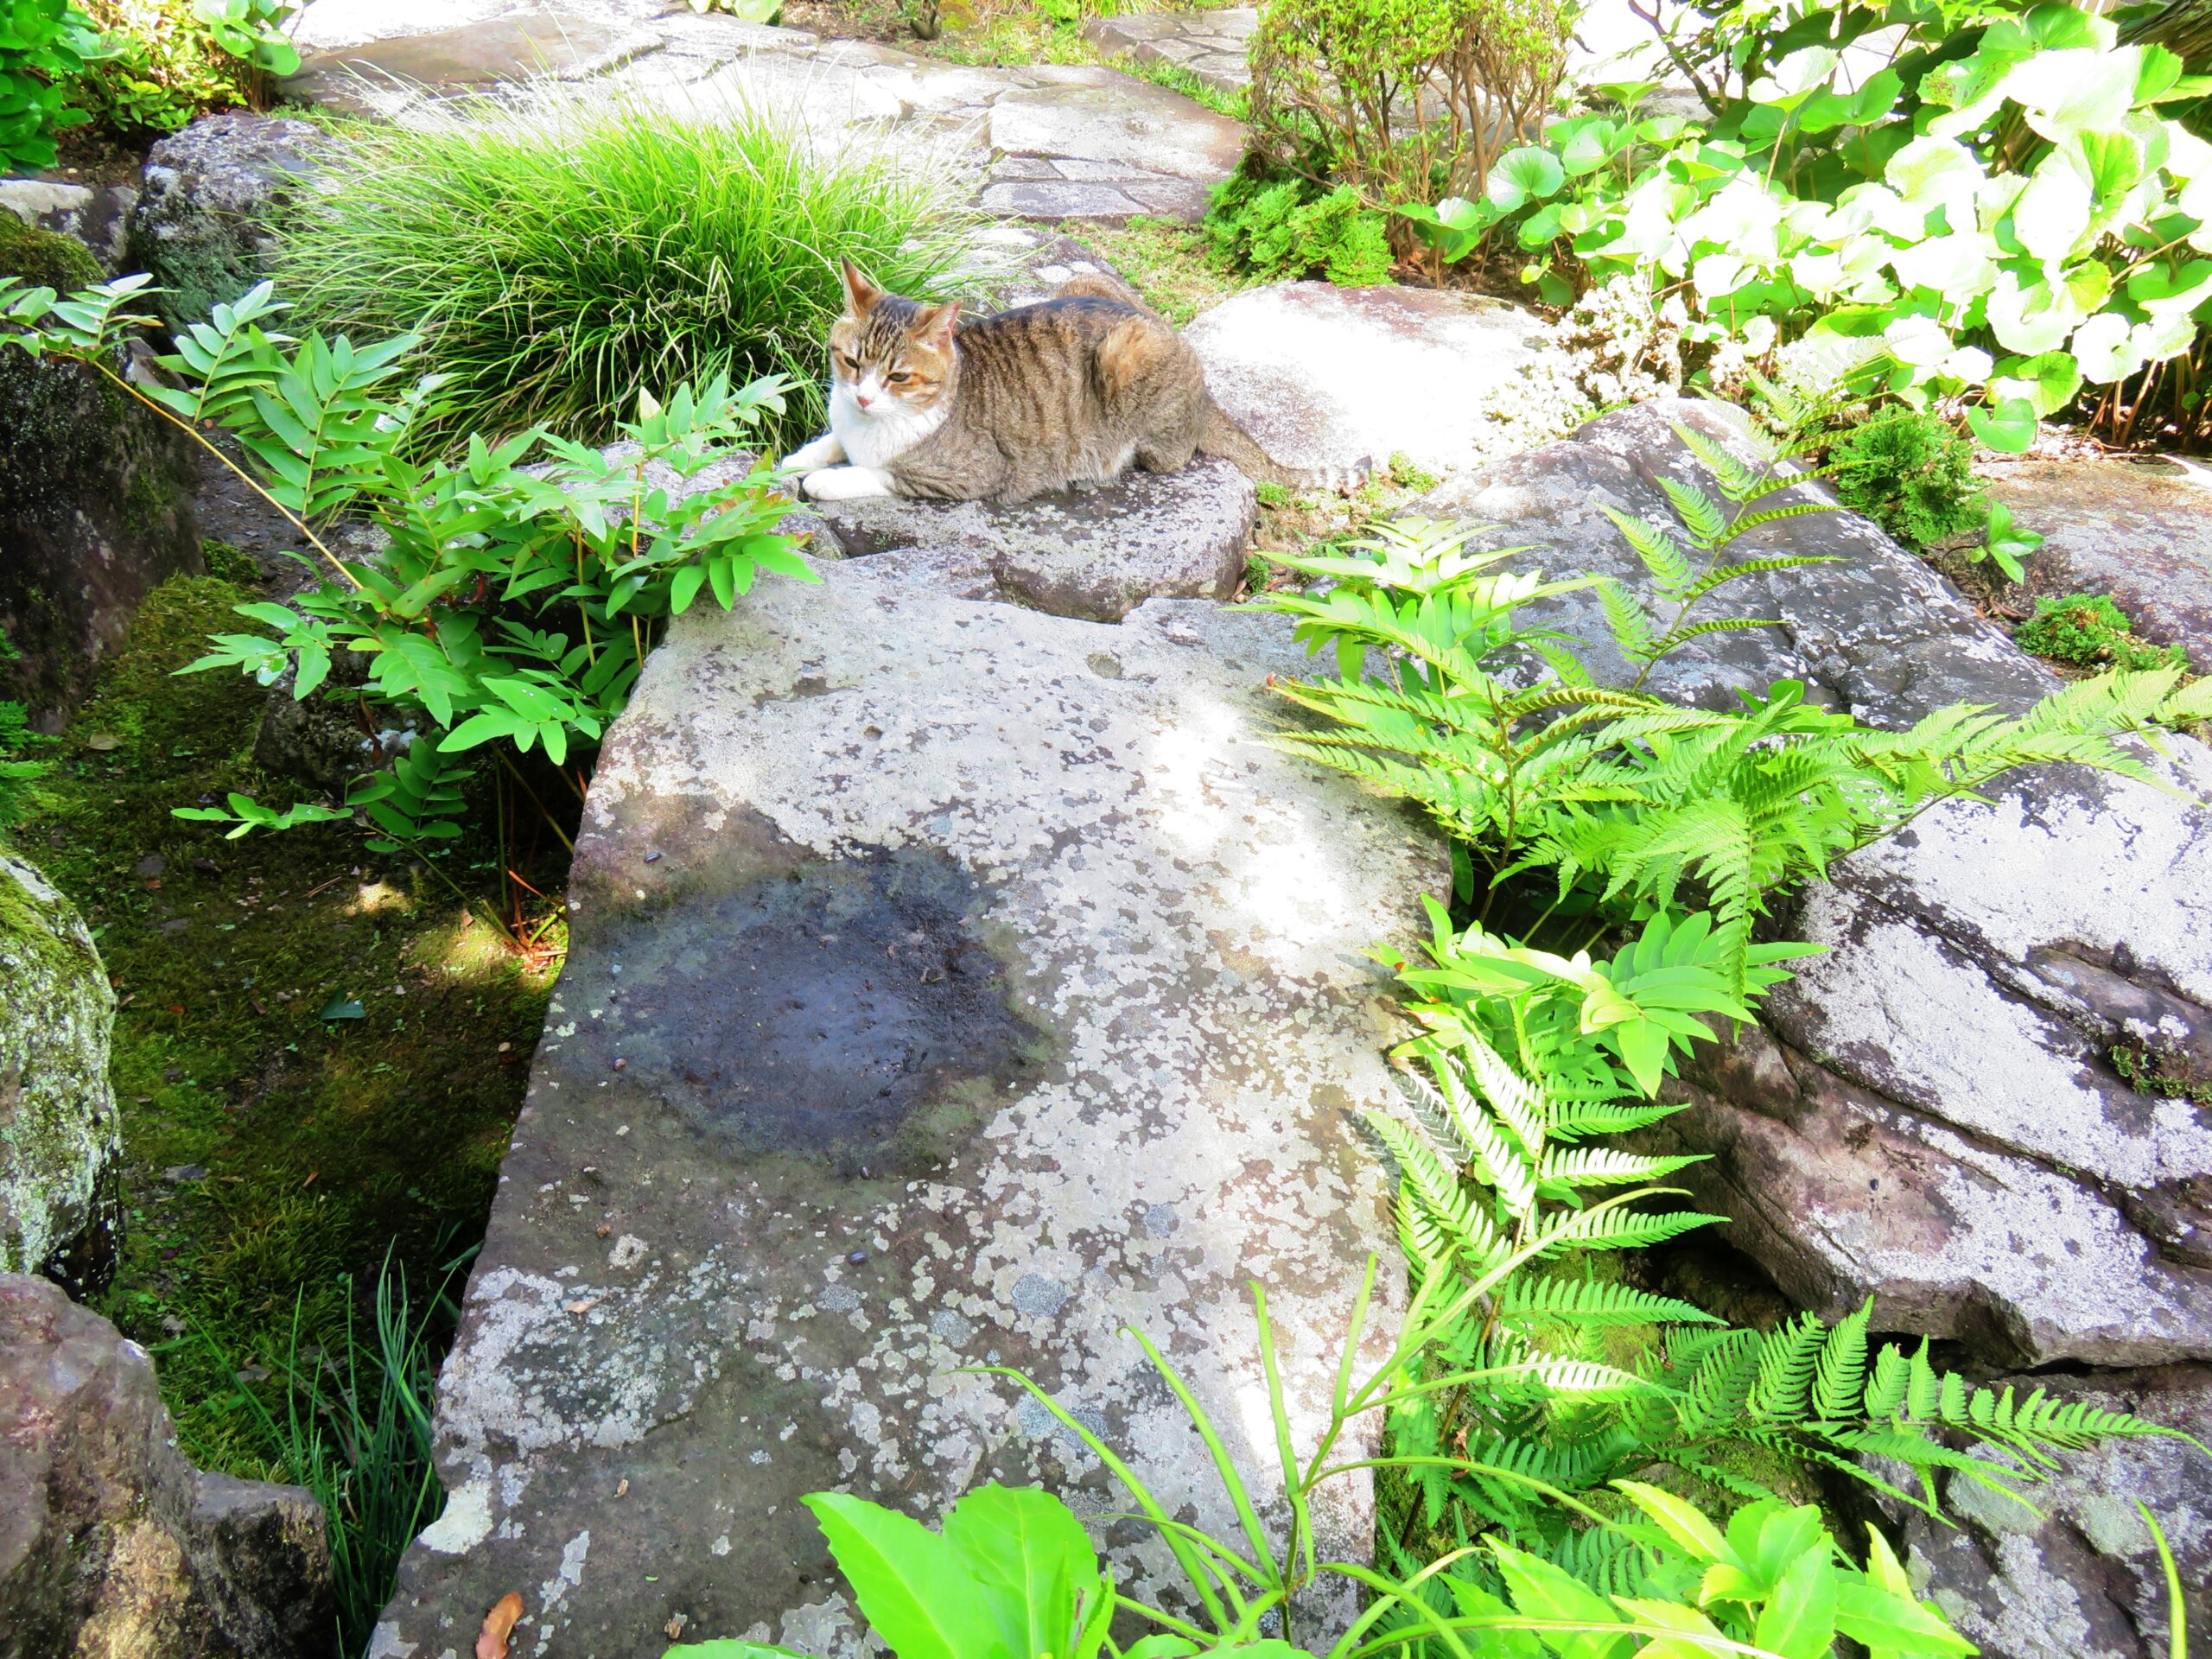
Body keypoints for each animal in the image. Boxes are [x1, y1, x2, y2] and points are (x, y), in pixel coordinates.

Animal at [791, 255, 1282, 506]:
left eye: (898, 376)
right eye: (851, 362)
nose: (864, 398)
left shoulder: (972, 475)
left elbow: (882, 472)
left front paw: (829, 480)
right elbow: (831, 439)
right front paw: (802, 457)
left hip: (1126, 354)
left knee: (1173, 452)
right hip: (1083, 280)